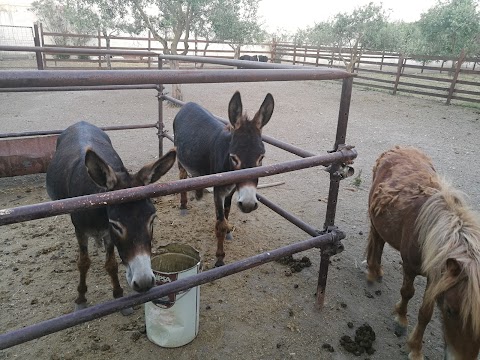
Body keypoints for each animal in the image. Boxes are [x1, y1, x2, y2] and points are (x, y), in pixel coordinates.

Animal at [368, 146, 480, 360]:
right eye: (450, 311)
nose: (461, 358)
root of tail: (399, 148)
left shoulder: (437, 275)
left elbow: (426, 313)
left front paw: (415, 348)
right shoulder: (410, 267)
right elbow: (407, 292)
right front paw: (401, 319)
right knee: (376, 242)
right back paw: (372, 271)